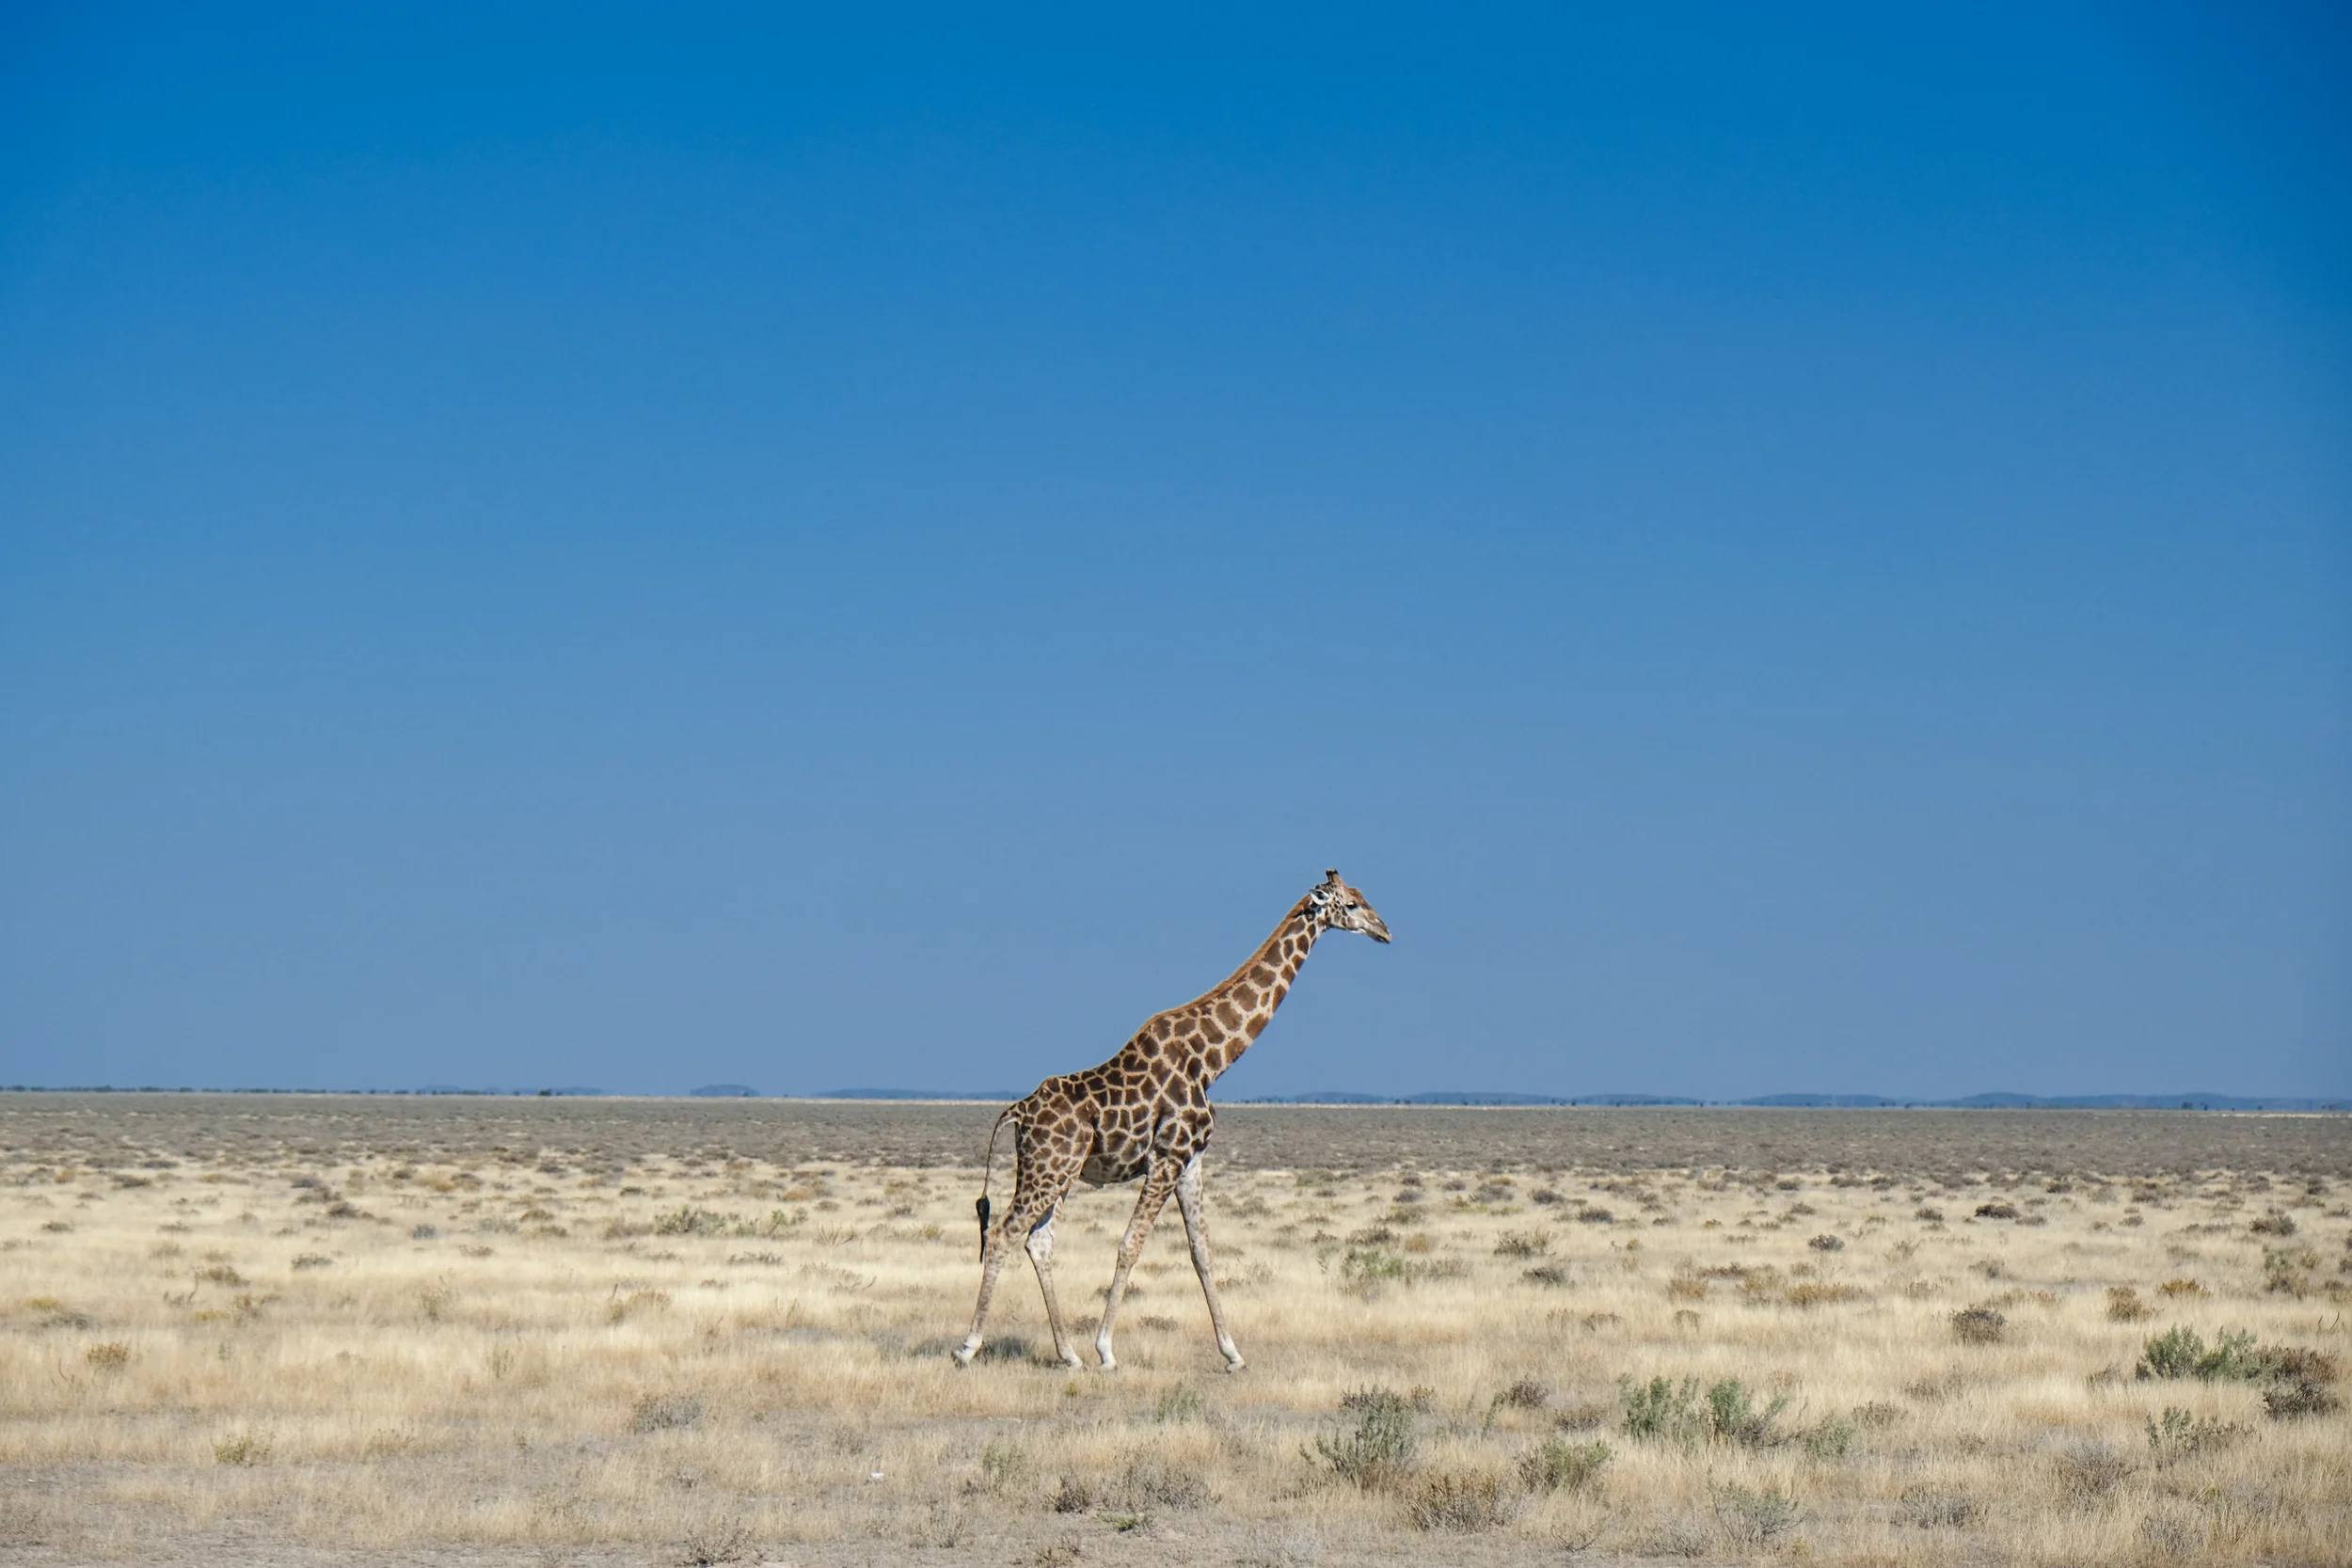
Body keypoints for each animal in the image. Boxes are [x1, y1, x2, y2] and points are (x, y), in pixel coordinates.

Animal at [953, 869, 1392, 1372]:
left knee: (1038, 1243)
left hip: (1057, 1172)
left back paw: (1068, 1355)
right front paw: (1107, 1350)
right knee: (1003, 1234)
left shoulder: (1191, 1161)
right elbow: (1131, 1244)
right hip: (1047, 1170)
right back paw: (969, 1347)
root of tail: (1018, 1113)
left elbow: (1201, 1252)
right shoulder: (1167, 1157)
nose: (1384, 930)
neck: (1212, 1060)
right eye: (1351, 904)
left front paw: (1233, 1354)